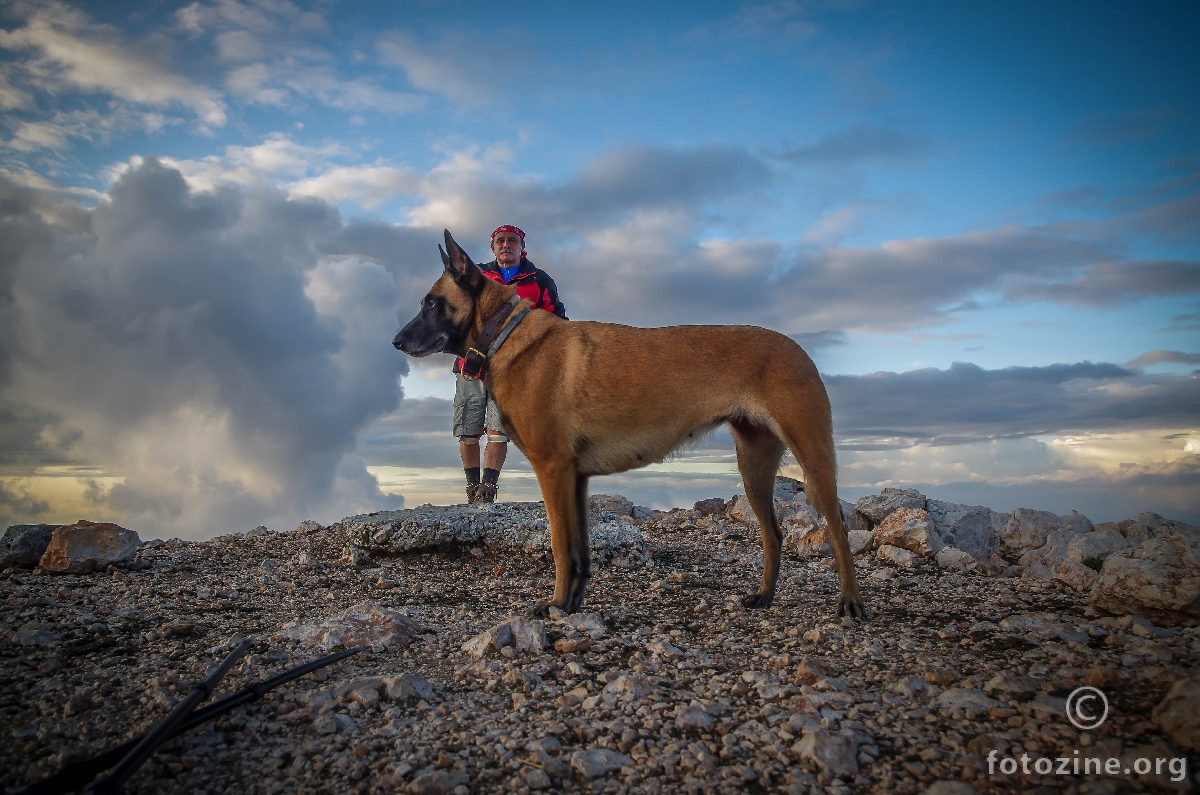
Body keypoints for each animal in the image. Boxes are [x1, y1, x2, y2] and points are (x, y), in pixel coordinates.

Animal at [398, 230, 868, 624]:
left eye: (431, 303)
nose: (396, 341)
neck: (506, 334)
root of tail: (799, 349)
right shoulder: (575, 479)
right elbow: (580, 553)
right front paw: (572, 604)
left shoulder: (552, 470)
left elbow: (560, 548)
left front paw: (555, 605)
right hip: (753, 468)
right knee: (773, 534)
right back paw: (764, 596)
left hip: (812, 457)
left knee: (838, 530)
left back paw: (850, 603)